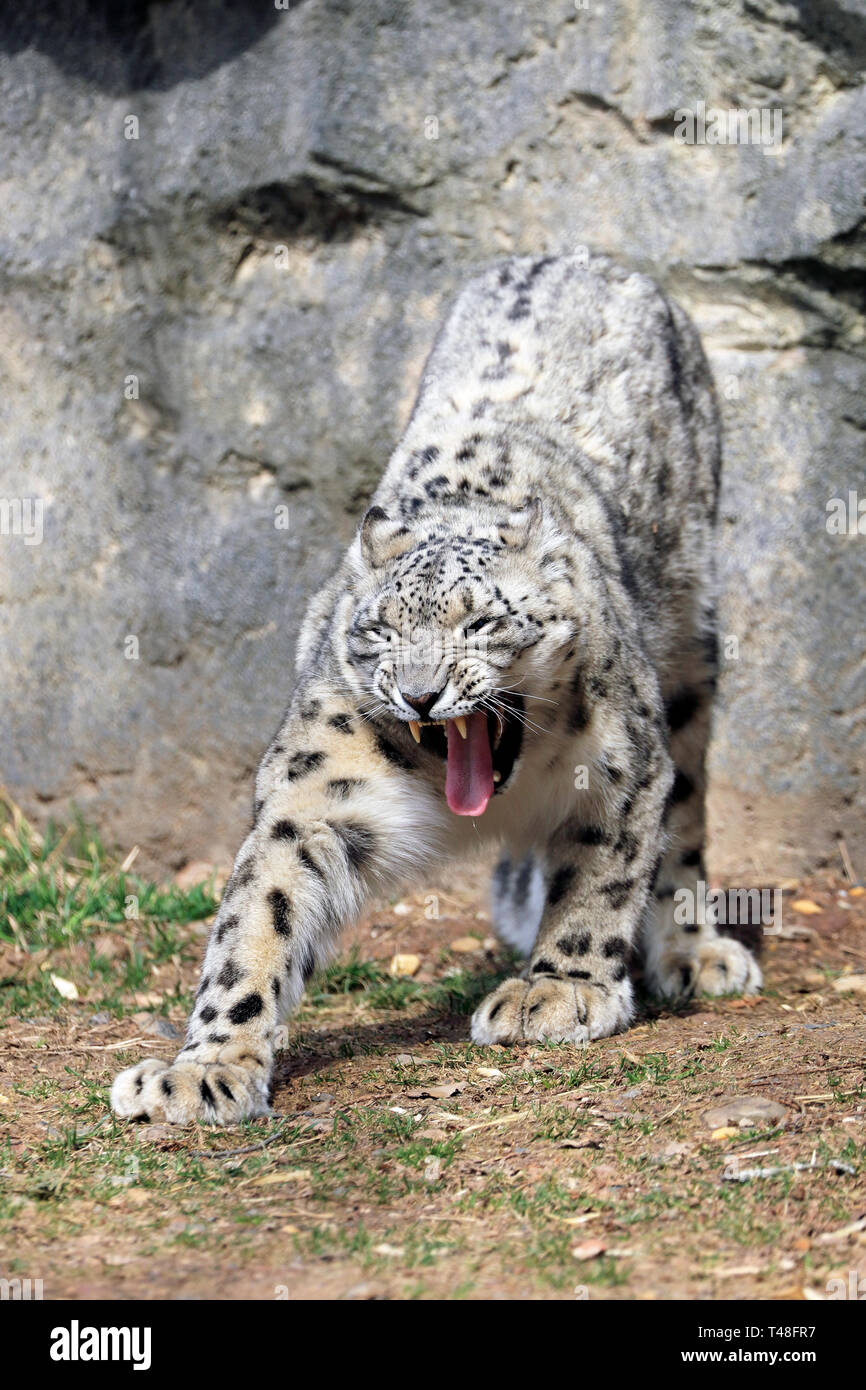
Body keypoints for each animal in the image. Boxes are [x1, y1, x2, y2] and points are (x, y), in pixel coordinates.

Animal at [113, 255, 756, 1123]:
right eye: (382, 630)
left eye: (482, 621)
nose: (420, 695)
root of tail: (577, 254)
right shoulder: (313, 793)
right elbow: (258, 919)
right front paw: (203, 1068)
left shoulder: (623, 765)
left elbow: (603, 874)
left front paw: (558, 991)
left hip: (690, 646)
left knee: (683, 821)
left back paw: (695, 950)